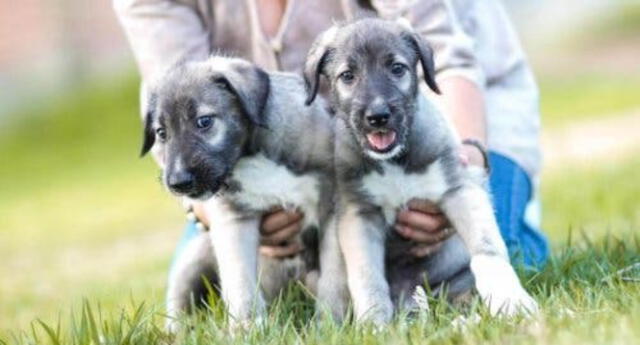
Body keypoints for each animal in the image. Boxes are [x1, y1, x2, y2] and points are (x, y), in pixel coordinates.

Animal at [141, 57, 336, 330]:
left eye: (204, 121)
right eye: (161, 133)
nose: (178, 183)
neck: (250, 155)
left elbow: (336, 275)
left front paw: (331, 321)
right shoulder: (233, 220)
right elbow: (240, 280)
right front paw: (249, 327)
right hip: (193, 260)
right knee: (179, 305)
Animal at [304, 19, 536, 326]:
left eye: (397, 68)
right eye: (348, 75)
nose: (378, 116)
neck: (394, 162)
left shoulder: (459, 190)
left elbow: (487, 249)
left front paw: (511, 301)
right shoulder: (359, 214)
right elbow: (367, 277)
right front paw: (373, 325)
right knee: (335, 284)